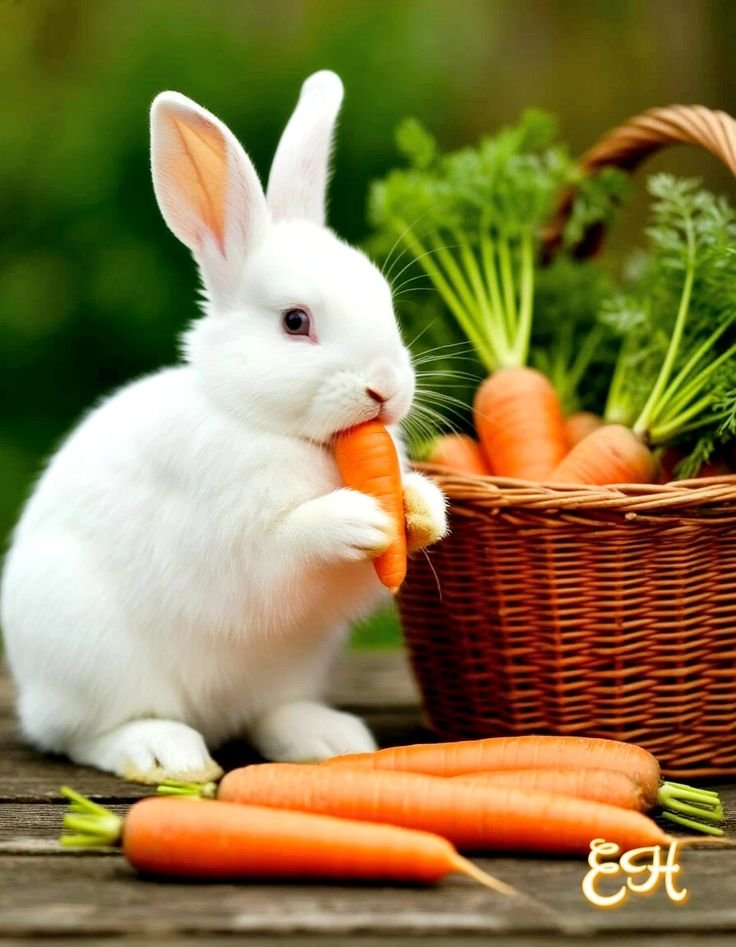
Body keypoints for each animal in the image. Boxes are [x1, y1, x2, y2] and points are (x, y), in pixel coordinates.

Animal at [0, 71, 448, 784]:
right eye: (296, 322)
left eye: (384, 301)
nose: (386, 389)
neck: (275, 428)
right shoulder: (232, 543)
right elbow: (286, 547)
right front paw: (358, 519)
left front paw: (422, 508)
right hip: (94, 662)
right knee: (84, 733)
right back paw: (165, 753)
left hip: (289, 670)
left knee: (266, 715)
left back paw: (328, 738)